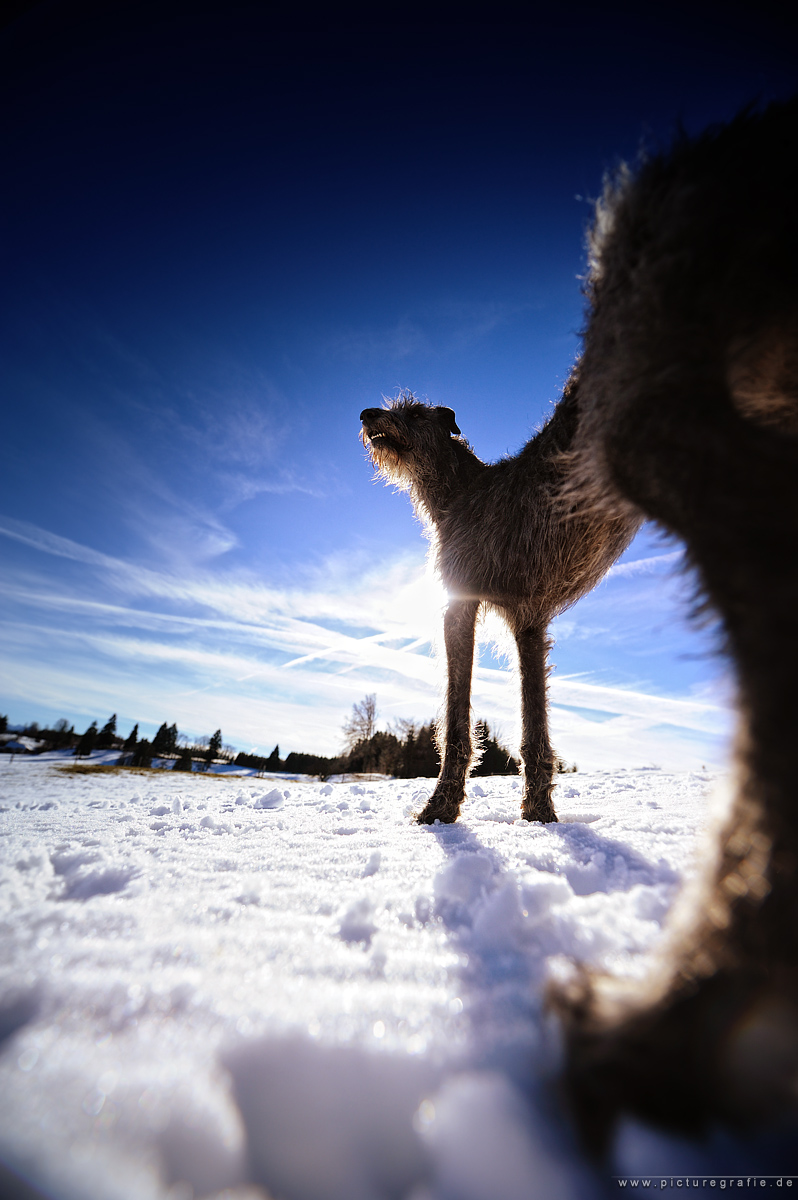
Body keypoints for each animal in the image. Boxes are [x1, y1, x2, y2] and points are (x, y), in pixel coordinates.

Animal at [360, 384, 643, 825]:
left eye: (416, 413)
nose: (366, 414)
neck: (460, 492)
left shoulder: (459, 602)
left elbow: (457, 720)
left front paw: (440, 807)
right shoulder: (530, 621)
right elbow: (534, 723)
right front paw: (539, 812)